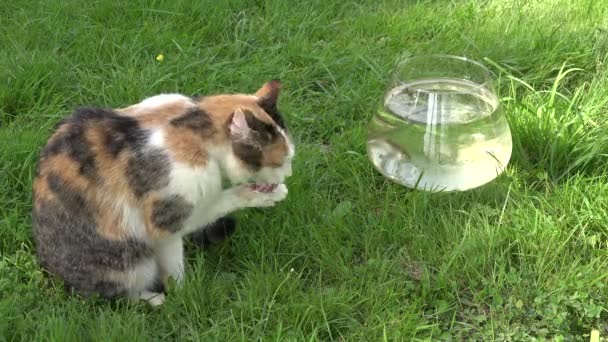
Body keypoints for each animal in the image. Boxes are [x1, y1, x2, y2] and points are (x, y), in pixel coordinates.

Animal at [32, 80, 294, 304]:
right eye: (281, 162)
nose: (289, 173)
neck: (193, 122)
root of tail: (53, 274)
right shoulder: (166, 218)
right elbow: (209, 210)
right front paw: (184, 293)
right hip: (128, 260)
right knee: (120, 294)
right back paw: (153, 299)